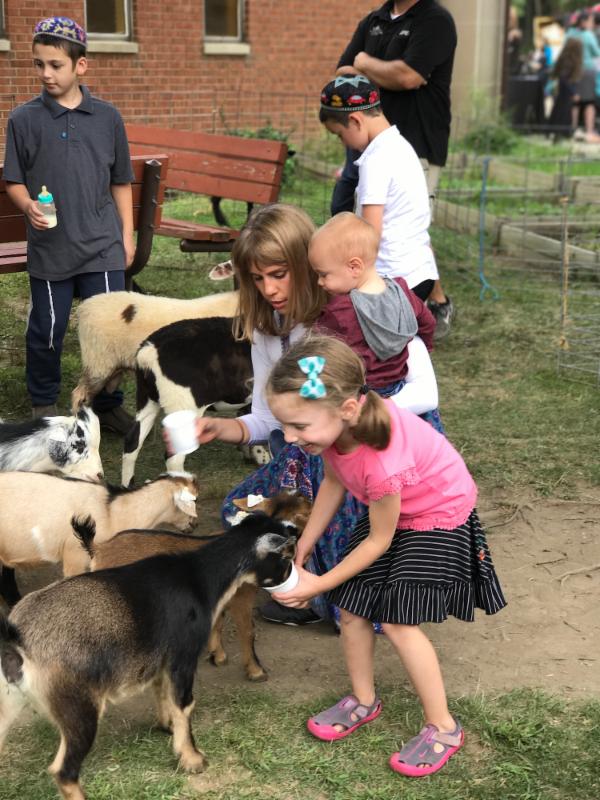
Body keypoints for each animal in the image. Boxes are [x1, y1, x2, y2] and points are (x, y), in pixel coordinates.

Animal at [0, 514, 297, 800]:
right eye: (286, 555)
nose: (287, 578)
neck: (198, 576)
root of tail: (18, 636)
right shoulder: (183, 654)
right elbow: (184, 703)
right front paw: (192, 759)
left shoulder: (159, 657)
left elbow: (161, 690)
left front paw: (166, 726)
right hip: (77, 705)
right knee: (65, 770)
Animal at [74, 489, 313, 682]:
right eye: (305, 506)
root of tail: (99, 549)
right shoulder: (242, 597)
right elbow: (248, 630)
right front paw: (256, 671)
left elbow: (217, 622)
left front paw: (218, 656)